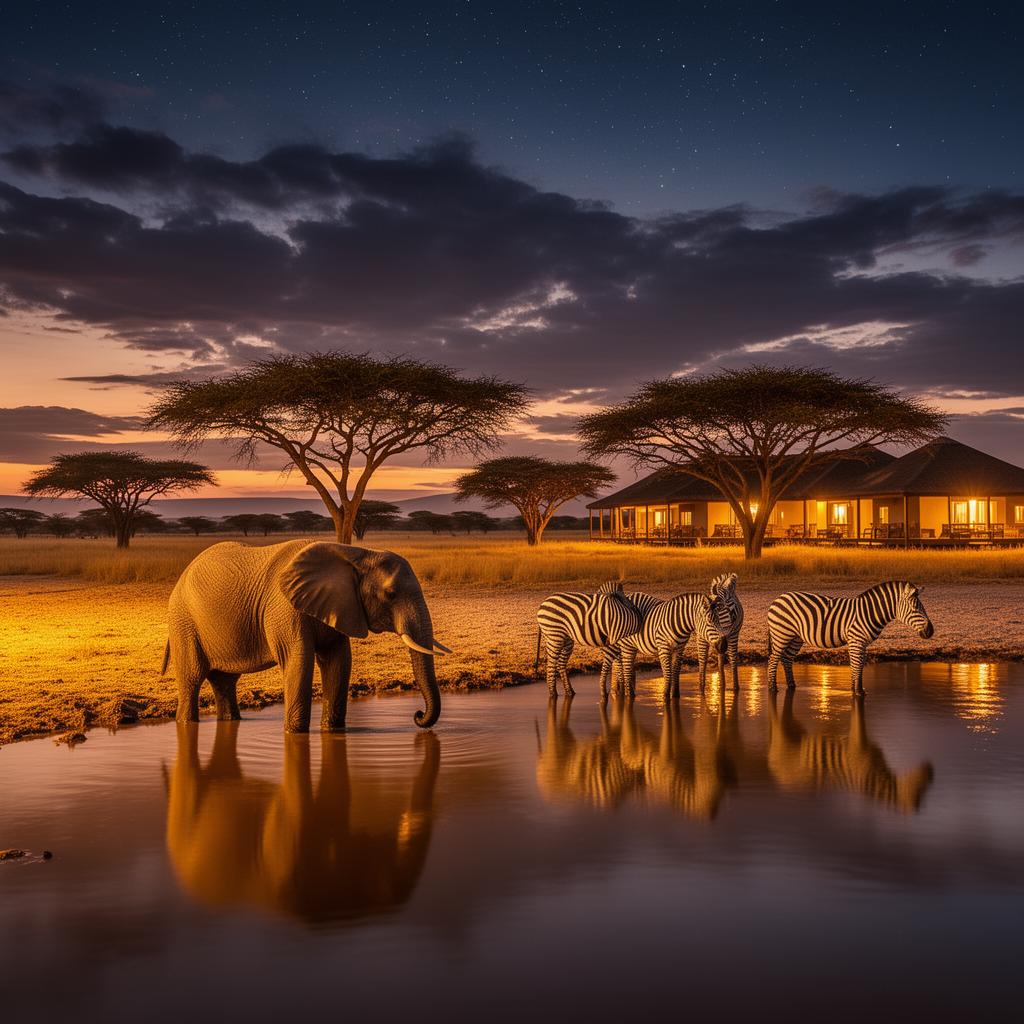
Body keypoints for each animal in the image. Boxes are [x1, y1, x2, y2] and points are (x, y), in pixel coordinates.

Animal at [162, 540, 449, 732]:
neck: (355, 554)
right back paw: (186, 722)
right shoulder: (284, 609)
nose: (417, 715)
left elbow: (338, 661)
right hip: (183, 621)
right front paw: (295, 733)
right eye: (390, 594)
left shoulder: (341, 605)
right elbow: (298, 661)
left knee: (224, 682)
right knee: (192, 678)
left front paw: (332, 731)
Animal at [766, 581, 934, 694]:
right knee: (773, 659)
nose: (931, 631)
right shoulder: (856, 640)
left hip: (795, 637)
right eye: (915, 608)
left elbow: (858, 664)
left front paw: (856, 688)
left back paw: (791, 685)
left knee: (787, 658)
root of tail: (778, 598)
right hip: (781, 634)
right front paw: (858, 692)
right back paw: (772, 688)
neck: (869, 613)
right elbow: (857, 664)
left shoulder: (861, 643)